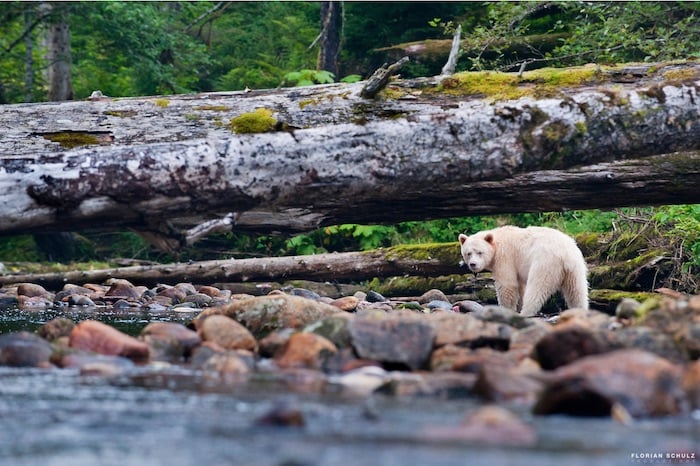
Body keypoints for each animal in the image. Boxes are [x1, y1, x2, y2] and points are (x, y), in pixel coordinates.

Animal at [458, 225, 588, 317]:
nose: (473, 264)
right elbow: (520, 286)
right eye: (468, 253)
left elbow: (507, 285)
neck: (496, 242)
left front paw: (506, 310)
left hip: (545, 263)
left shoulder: (505, 257)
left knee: (537, 288)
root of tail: (565, 254)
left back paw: (525, 313)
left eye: (480, 252)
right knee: (576, 291)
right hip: (576, 268)